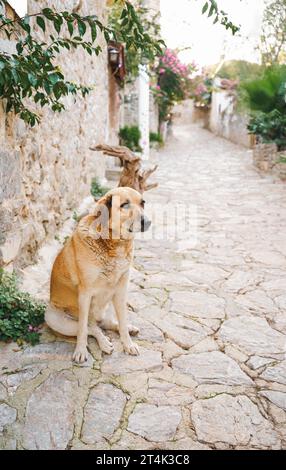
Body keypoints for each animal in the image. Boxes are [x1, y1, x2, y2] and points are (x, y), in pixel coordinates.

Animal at [44, 187, 151, 364]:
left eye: (142, 203)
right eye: (125, 205)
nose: (147, 222)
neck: (113, 244)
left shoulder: (121, 290)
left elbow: (123, 322)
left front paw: (128, 344)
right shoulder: (85, 294)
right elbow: (82, 330)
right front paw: (81, 350)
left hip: (110, 304)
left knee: (107, 324)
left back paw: (127, 329)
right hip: (54, 318)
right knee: (91, 328)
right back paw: (104, 343)